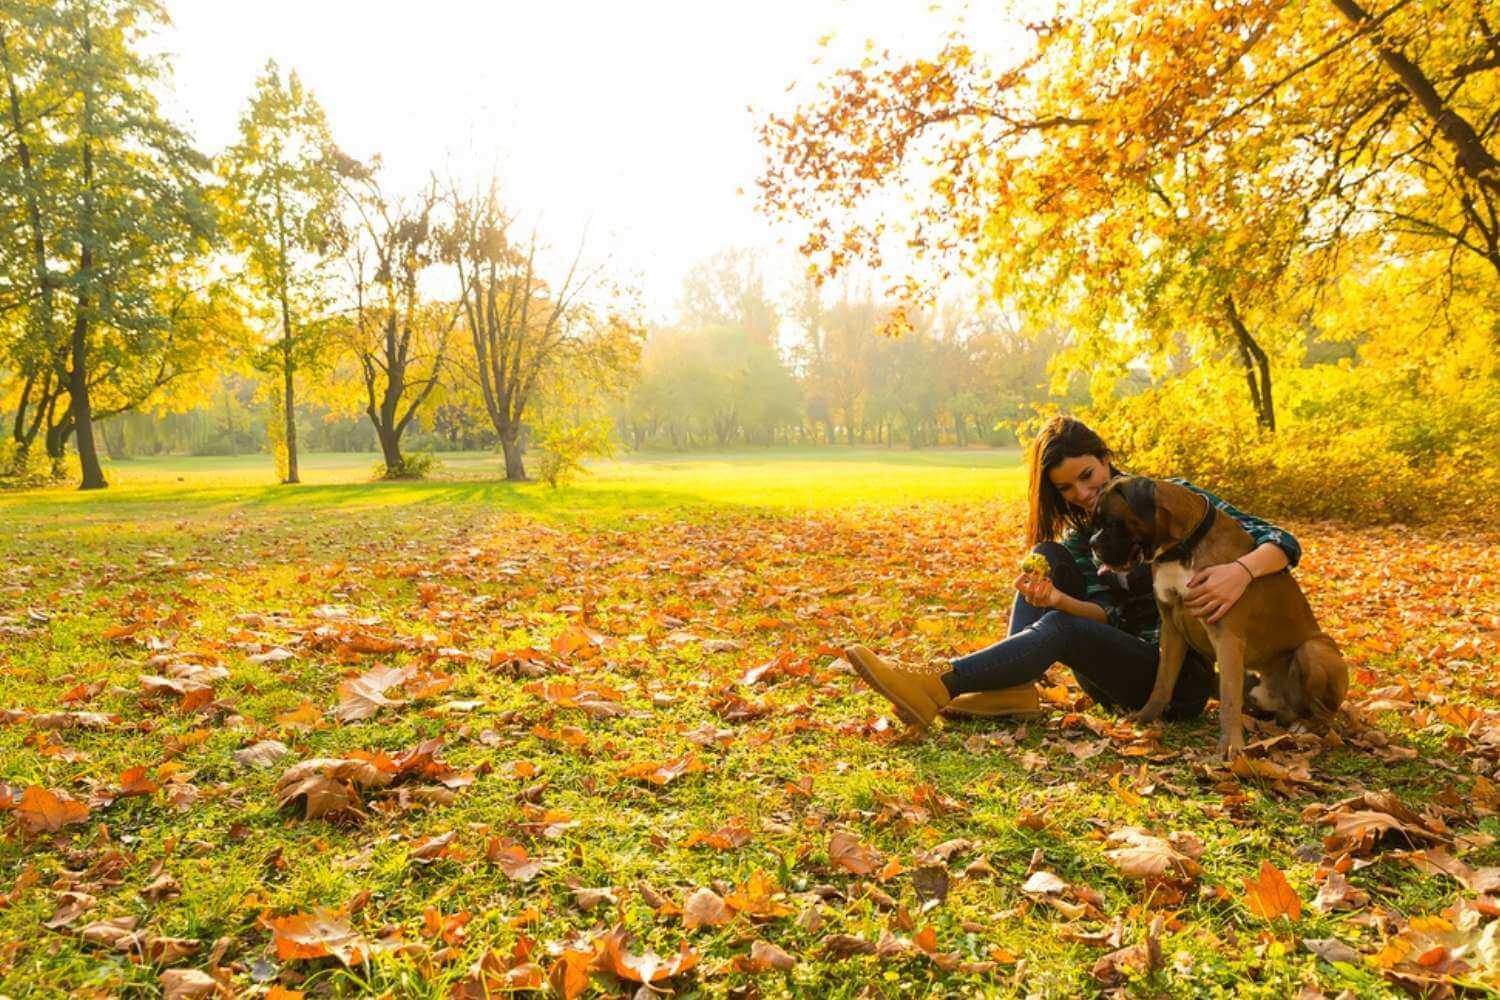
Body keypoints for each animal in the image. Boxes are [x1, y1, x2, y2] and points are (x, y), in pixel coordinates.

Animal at [1092, 476, 1350, 758]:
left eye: (1111, 523)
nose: (1092, 543)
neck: (1182, 549)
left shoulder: (1226, 638)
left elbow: (1229, 700)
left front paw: (1230, 746)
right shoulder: (1171, 630)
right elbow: (1162, 681)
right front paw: (1145, 717)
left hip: (1314, 650)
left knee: (1327, 714)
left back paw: (1308, 728)